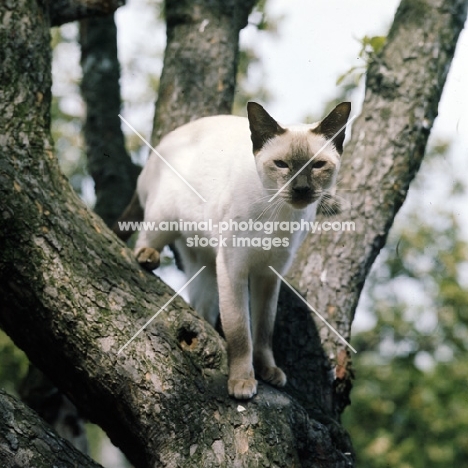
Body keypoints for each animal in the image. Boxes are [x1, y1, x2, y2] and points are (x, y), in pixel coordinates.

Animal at [133, 101, 350, 398]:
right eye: (281, 165)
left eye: (317, 165)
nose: (301, 189)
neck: (280, 215)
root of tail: (167, 140)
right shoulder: (234, 269)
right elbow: (240, 333)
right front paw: (242, 382)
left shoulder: (268, 275)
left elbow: (263, 330)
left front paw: (268, 371)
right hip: (165, 218)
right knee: (146, 238)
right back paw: (147, 257)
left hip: (206, 267)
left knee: (201, 305)